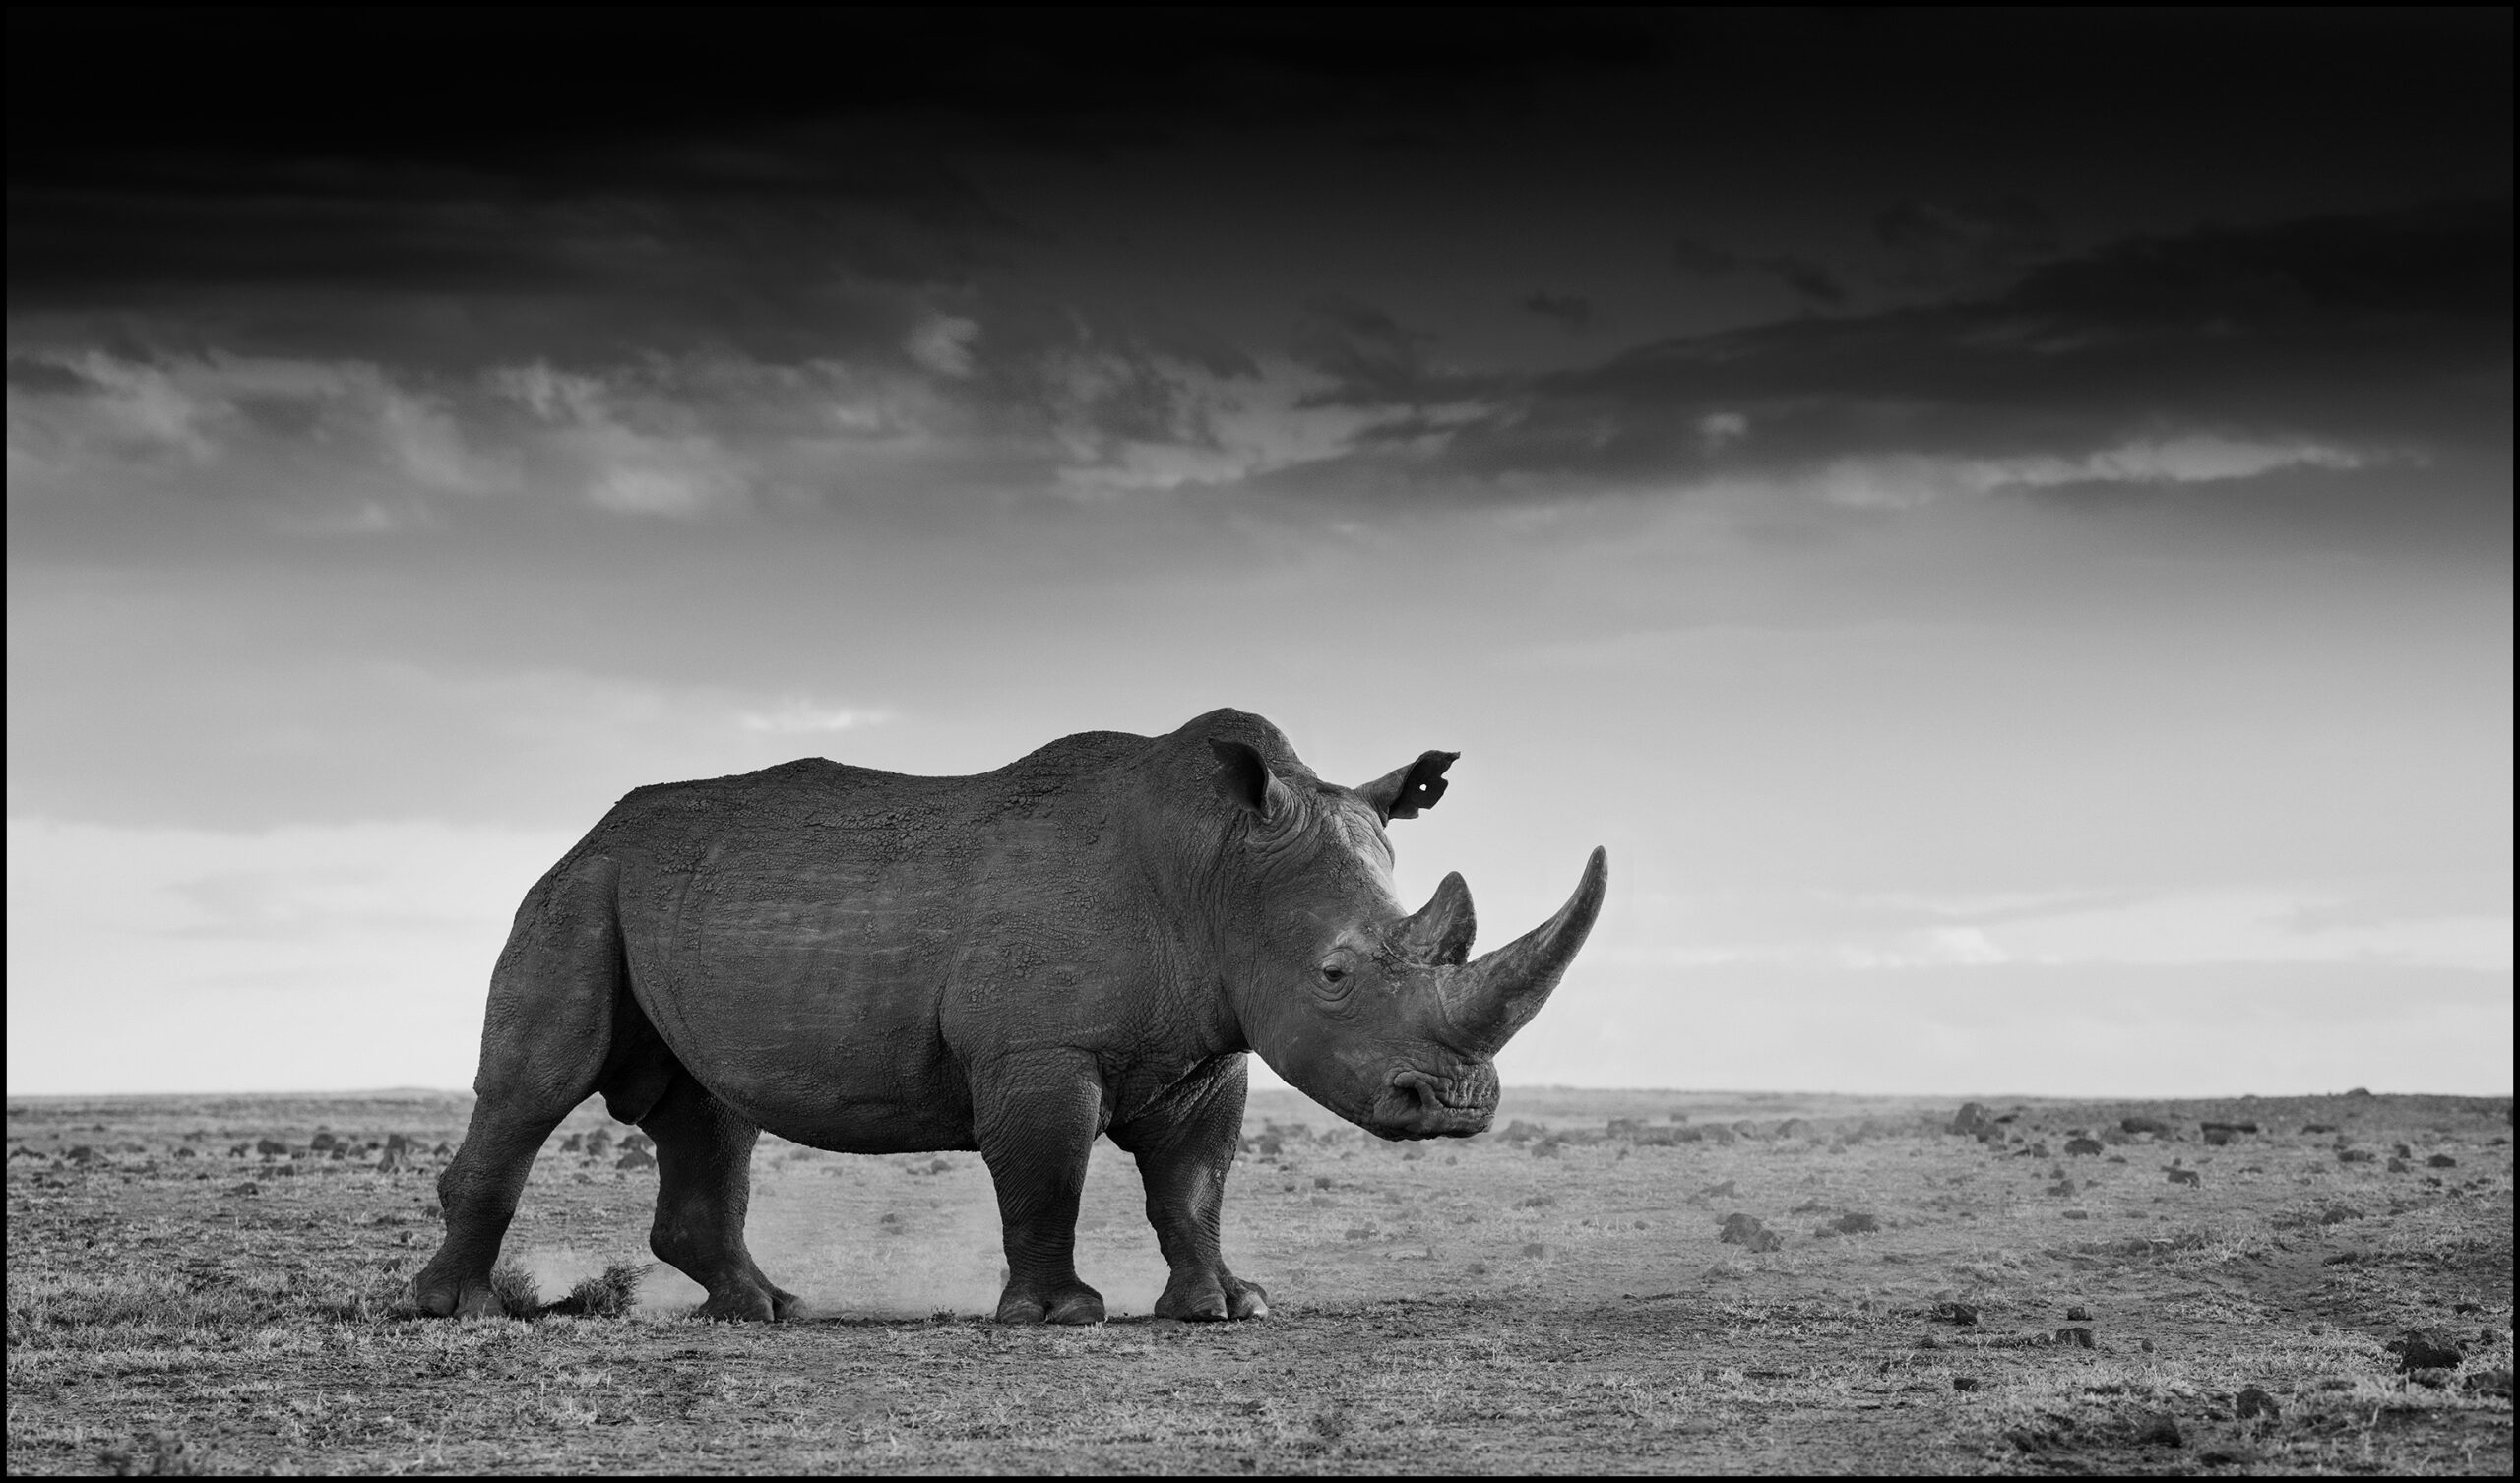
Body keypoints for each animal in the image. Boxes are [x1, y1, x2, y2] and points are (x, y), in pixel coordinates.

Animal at [414, 708, 1606, 1324]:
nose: (1453, 1105)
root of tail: (587, 830)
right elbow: (1046, 1172)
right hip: (582, 889)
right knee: (534, 1088)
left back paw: (768, 1311)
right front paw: (1060, 1316)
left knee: (710, 1110)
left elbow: (1193, 1185)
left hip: (668, 897)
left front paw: (1227, 1306)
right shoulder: (1038, 1047)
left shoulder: (1209, 1047)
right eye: (1334, 975)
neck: (1217, 867)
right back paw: (459, 1311)